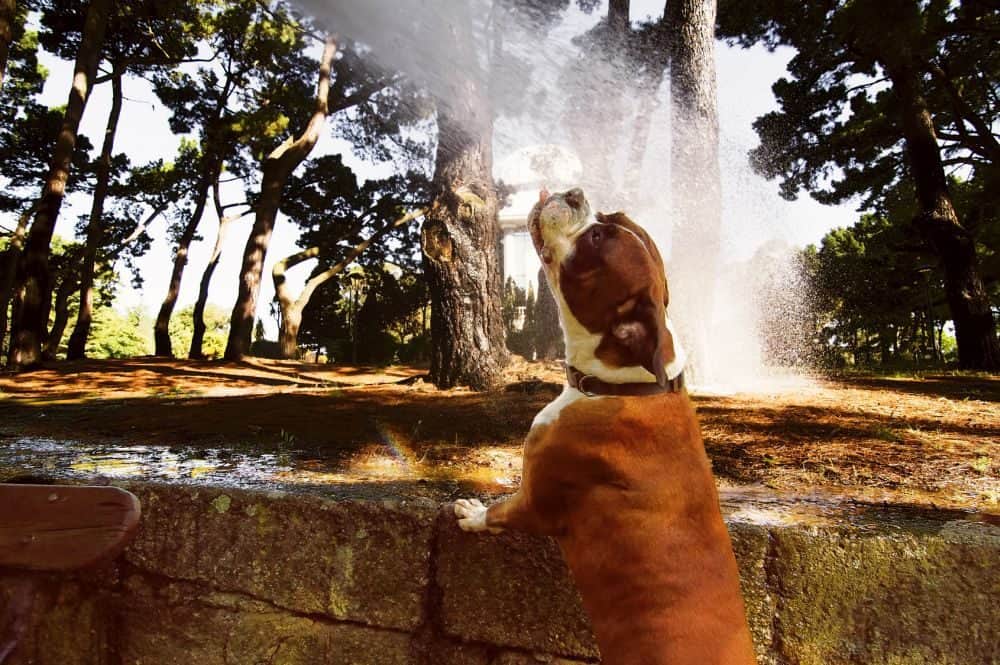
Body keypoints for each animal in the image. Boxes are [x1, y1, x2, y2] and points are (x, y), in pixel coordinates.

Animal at [458, 188, 752, 664]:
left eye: (596, 238)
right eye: (609, 217)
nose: (575, 194)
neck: (625, 384)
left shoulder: (536, 502)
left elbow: (501, 511)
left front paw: (474, 514)